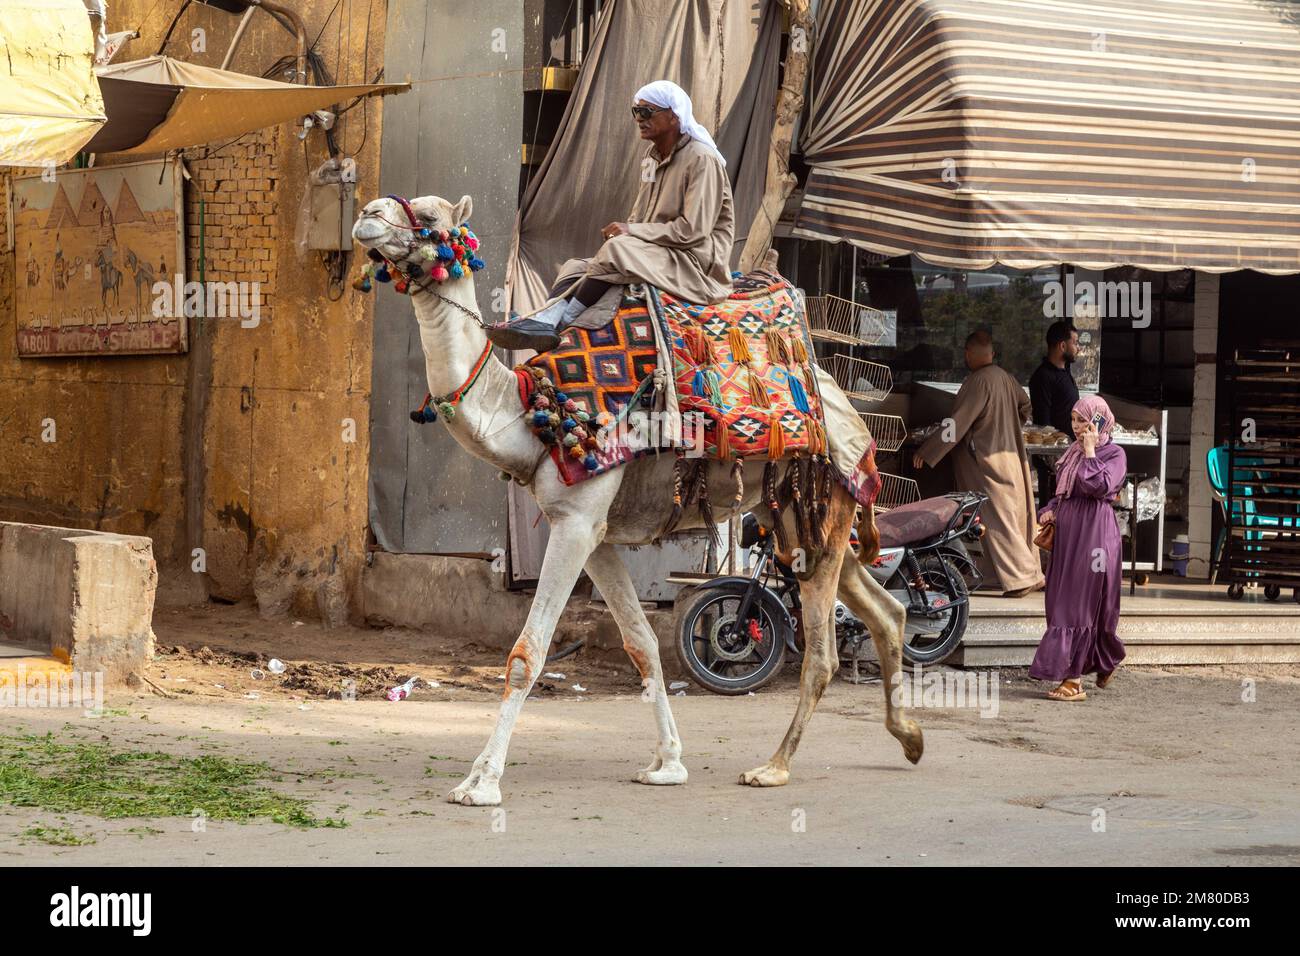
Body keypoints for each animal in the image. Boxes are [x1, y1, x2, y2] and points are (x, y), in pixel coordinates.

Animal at [345, 191, 915, 806]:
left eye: (430, 218)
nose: (369, 213)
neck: (532, 417)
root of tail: (851, 412)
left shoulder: (576, 521)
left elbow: (527, 653)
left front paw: (482, 781)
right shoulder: (595, 536)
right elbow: (641, 642)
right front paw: (668, 763)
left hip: (820, 498)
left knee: (823, 652)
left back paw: (774, 766)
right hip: (793, 513)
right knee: (886, 608)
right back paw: (909, 738)